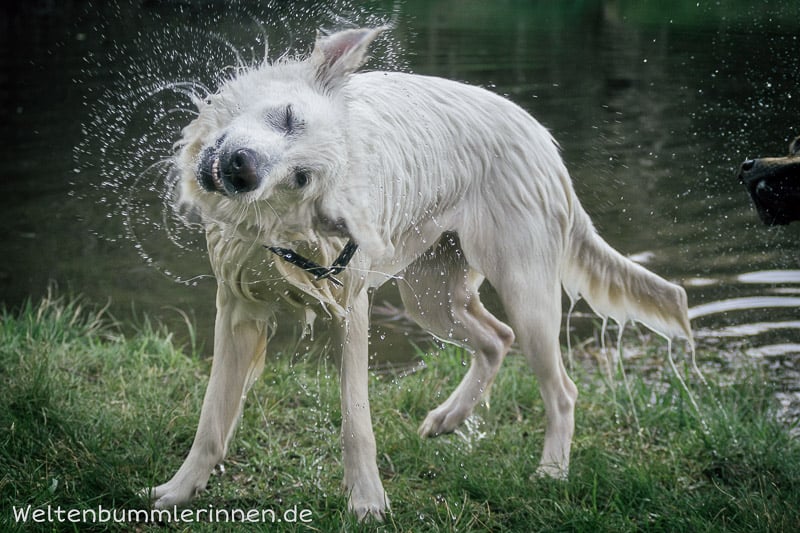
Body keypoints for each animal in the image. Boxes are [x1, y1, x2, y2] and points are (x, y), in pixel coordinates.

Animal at [145, 27, 693, 520]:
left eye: (301, 178)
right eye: (287, 116)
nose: (242, 168)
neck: (277, 228)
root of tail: (544, 143)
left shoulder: (351, 310)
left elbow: (356, 421)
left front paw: (367, 502)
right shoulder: (237, 308)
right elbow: (213, 416)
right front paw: (179, 491)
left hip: (525, 293)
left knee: (560, 389)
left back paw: (551, 471)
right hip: (430, 298)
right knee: (496, 338)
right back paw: (449, 418)